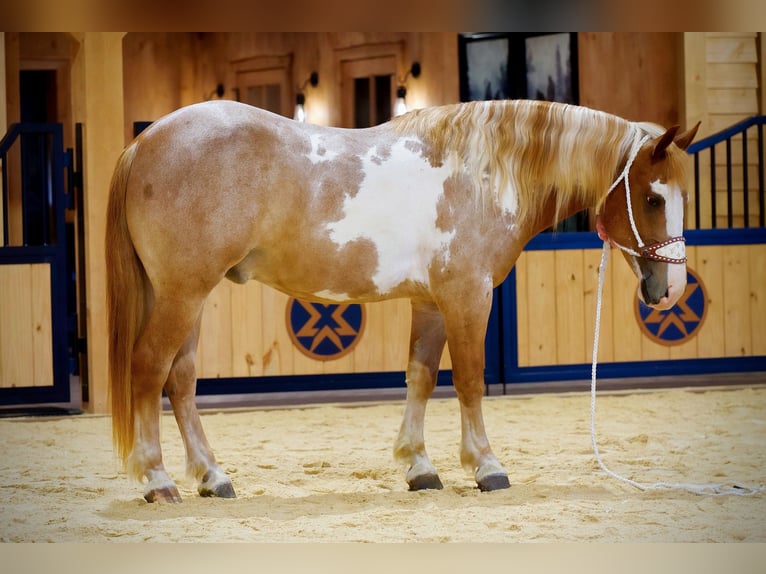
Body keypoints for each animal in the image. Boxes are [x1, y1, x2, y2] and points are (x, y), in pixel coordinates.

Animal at [106, 98, 699, 502]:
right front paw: (486, 466)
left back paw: (213, 477)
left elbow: (421, 377)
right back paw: (158, 479)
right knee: (150, 368)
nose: (671, 290)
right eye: (652, 199)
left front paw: (420, 467)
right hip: (183, 294)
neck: (480, 176)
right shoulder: (468, 297)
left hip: (187, 296)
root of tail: (145, 141)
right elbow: (470, 380)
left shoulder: (431, 303)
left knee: (181, 380)